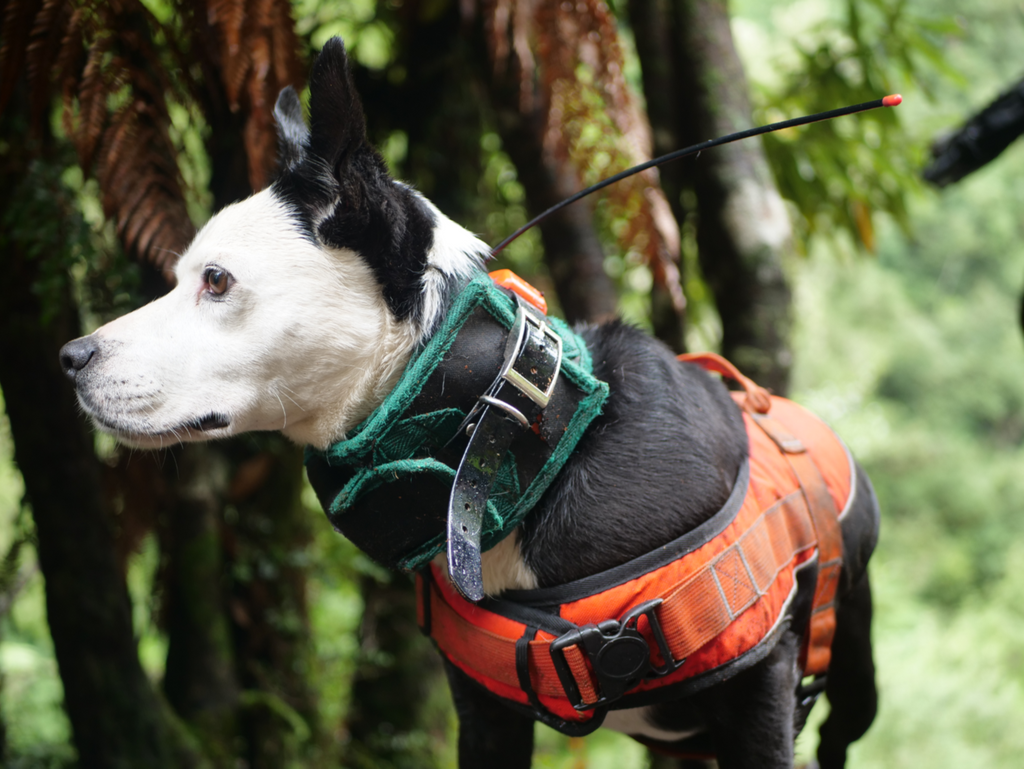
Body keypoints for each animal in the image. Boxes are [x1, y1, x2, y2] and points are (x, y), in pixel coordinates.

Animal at [59, 37, 880, 769]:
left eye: (218, 281)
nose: (69, 359)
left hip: (851, 686)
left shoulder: (760, 702)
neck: (521, 445)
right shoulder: (485, 714)